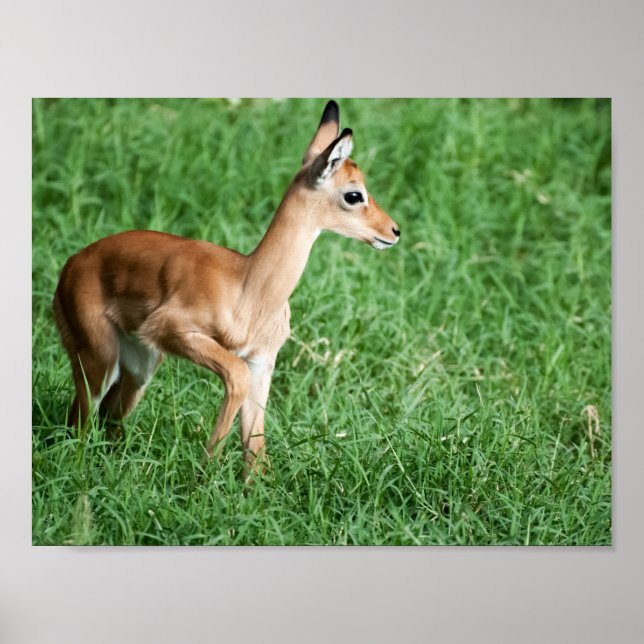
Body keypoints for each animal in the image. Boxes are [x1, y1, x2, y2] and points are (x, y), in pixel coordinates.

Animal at [53, 100, 400, 476]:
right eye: (354, 194)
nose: (393, 230)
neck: (250, 289)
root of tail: (71, 264)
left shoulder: (262, 361)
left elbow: (256, 446)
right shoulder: (178, 332)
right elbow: (235, 377)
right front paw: (202, 475)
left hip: (139, 365)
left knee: (108, 418)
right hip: (98, 358)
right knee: (80, 424)